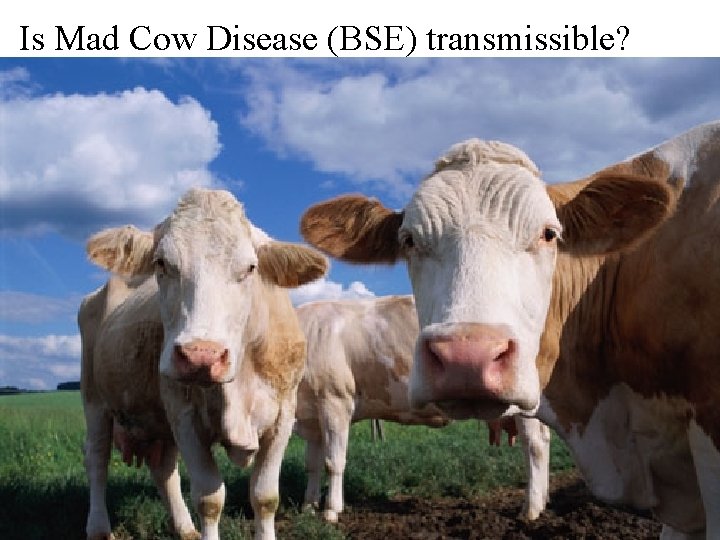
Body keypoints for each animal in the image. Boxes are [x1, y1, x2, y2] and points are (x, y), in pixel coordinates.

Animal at [79, 188, 328, 540]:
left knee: (163, 469)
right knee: (97, 459)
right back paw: (100, 527)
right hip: (95, 399)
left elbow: (265, 497)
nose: (201, 355)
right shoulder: (185, 416)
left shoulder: (283, 413)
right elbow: (209, 499)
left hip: (157, 418)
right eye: (162, 263)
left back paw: (184, 528)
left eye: (251, 267)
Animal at [294, 294, 551, 523]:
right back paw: (544, 499)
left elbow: (333, 462)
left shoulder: (335, 400)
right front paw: (308, 506)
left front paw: (331, 511)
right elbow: (312, 464)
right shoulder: (312, 418)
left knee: (534, 446)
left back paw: (530, 509)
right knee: (544, 439)